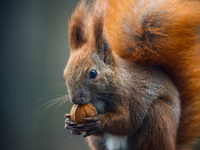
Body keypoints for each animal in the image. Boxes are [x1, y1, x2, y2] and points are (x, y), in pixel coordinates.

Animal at [63, 0, 200, 149]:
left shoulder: (130, 98)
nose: (75, 100)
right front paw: (70, 123)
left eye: (93, 73)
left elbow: (126, 122)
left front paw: (99, 122)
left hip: (158, 120)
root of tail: (173, 142)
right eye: (65, 74)